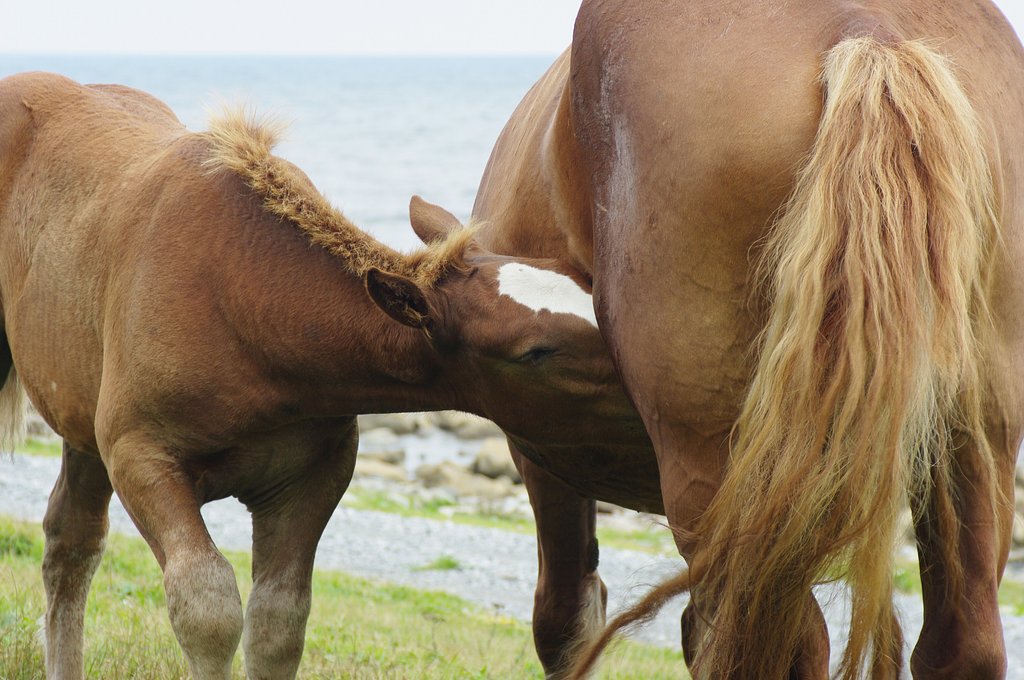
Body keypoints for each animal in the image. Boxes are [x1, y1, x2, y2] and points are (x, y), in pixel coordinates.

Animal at [0, 71, 648, 679]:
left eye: (589, 292)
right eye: (536, 352)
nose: (644, 395)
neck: (244, 303)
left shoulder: (312, 472)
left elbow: (278, 622)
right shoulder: (140, 454)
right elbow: (207, 609)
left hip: (80, 416)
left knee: (70, 539)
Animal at [470, 1, 1024, 677]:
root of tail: (868, 32)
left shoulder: (541, 450)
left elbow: (566, 619)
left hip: (713, 470)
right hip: (975, 436)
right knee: (961, 643)